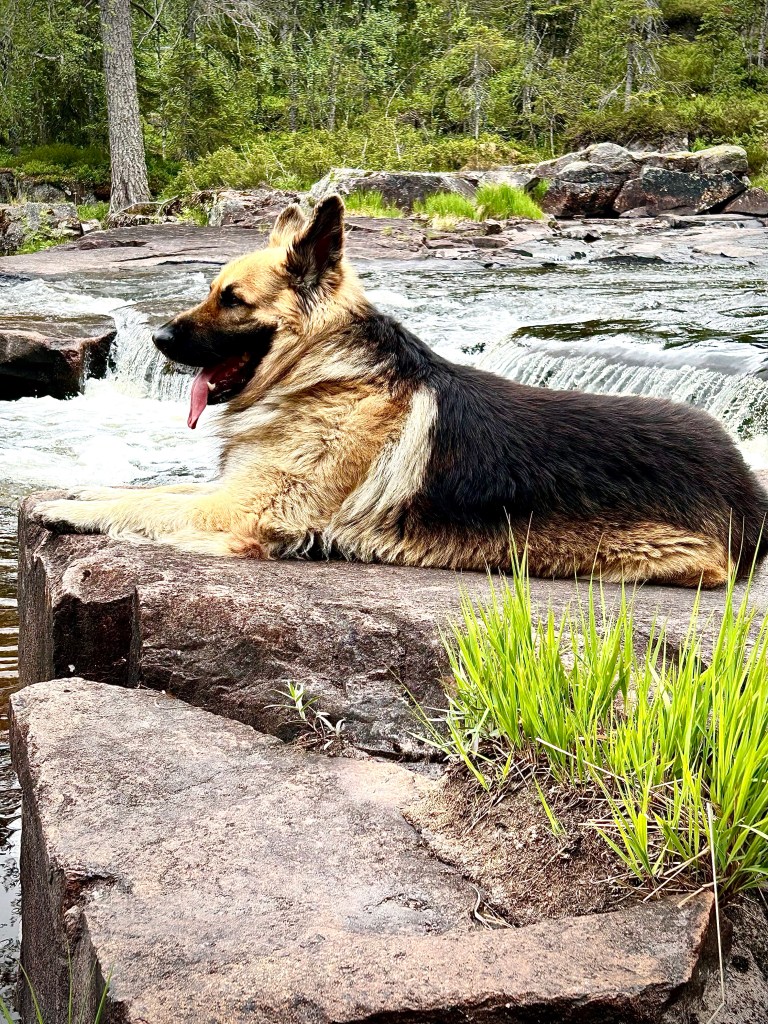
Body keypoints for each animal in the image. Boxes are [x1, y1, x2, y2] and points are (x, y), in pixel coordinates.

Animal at [37, 195, 768, 586]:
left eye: (233, 300)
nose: (158, 338)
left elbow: (144, 507)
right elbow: (147, 491)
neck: (321, 370)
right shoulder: (230, 490)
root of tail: (746, 488)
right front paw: (73, 493)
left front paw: (66, 508)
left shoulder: (239, 511)